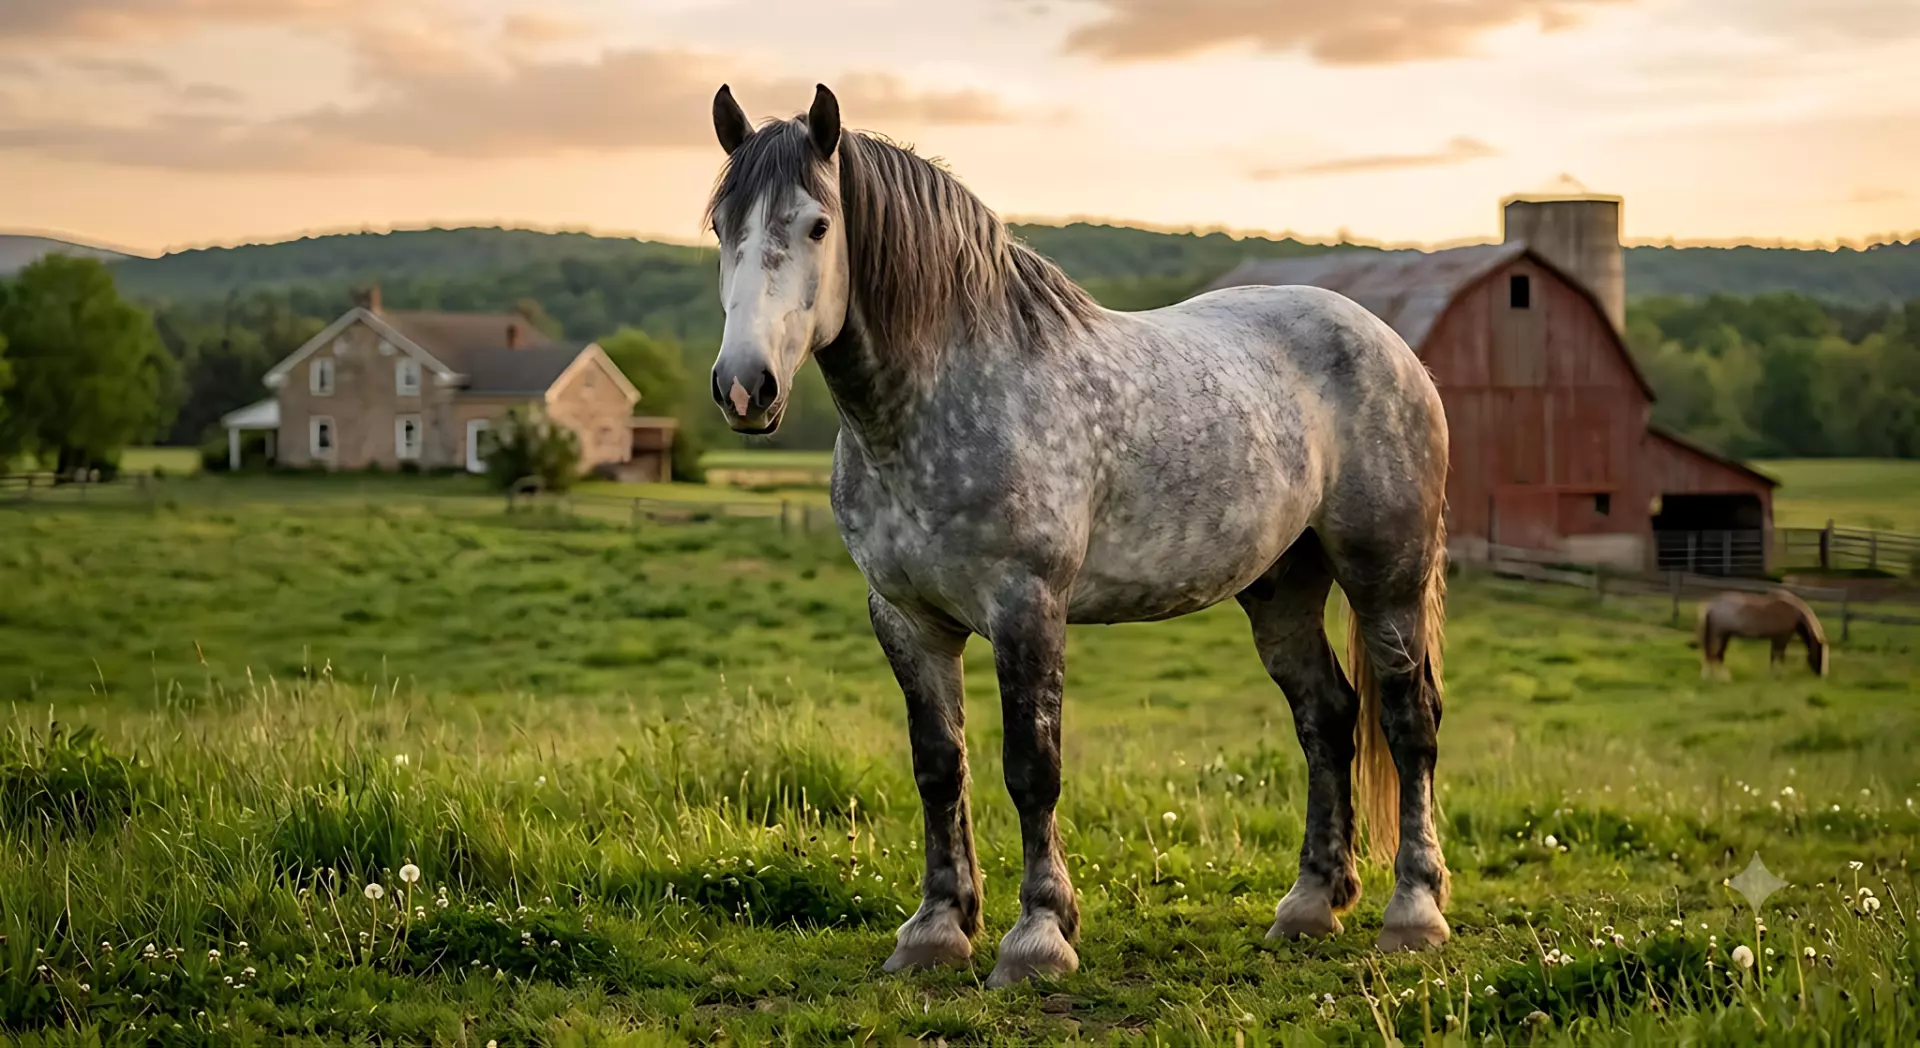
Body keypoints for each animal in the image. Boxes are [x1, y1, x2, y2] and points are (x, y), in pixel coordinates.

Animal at [702, 84, 1454, 986]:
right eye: (720, 225)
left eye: (818, 225)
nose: (745, 387)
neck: (941, 399)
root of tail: (1389, 343)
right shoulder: (906, 617)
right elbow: (938, 766)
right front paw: (935, 930)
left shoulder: (1027, 606)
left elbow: (1033, 769)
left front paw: (1038, 936)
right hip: (1281, 589)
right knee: (1328, 717)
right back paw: (1310, 905)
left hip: (1387, 576)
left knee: (1409, 721)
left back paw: (1413, 911)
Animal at [1697, 590, 1829, 680]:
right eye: (1820, 654)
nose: (1822, 675)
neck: (1796, 612)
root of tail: (1712, 607)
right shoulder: (1782, 637)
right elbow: (1779, 656)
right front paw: (1779, 675)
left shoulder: (1776, 638)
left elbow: (1773, 656)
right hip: (1719, 635)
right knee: (1713, 655)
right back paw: (1719, 677)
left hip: (1725, 636)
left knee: (1716, 656)